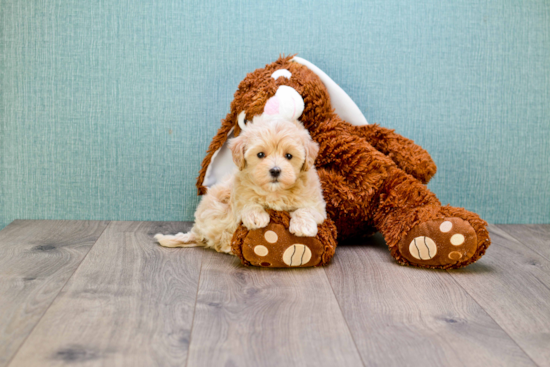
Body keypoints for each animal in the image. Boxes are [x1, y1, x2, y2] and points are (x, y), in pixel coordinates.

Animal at [154, 116, 328, 254]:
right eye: (260, 154)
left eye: (289, 156)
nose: (275, 170)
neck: (274, 192)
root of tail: (198, 231)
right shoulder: (238, 195)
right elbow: (248, 203)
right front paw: (256, 216)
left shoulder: (317, 205)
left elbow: (305, 210)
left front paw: (303, 226)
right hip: (219, 204)